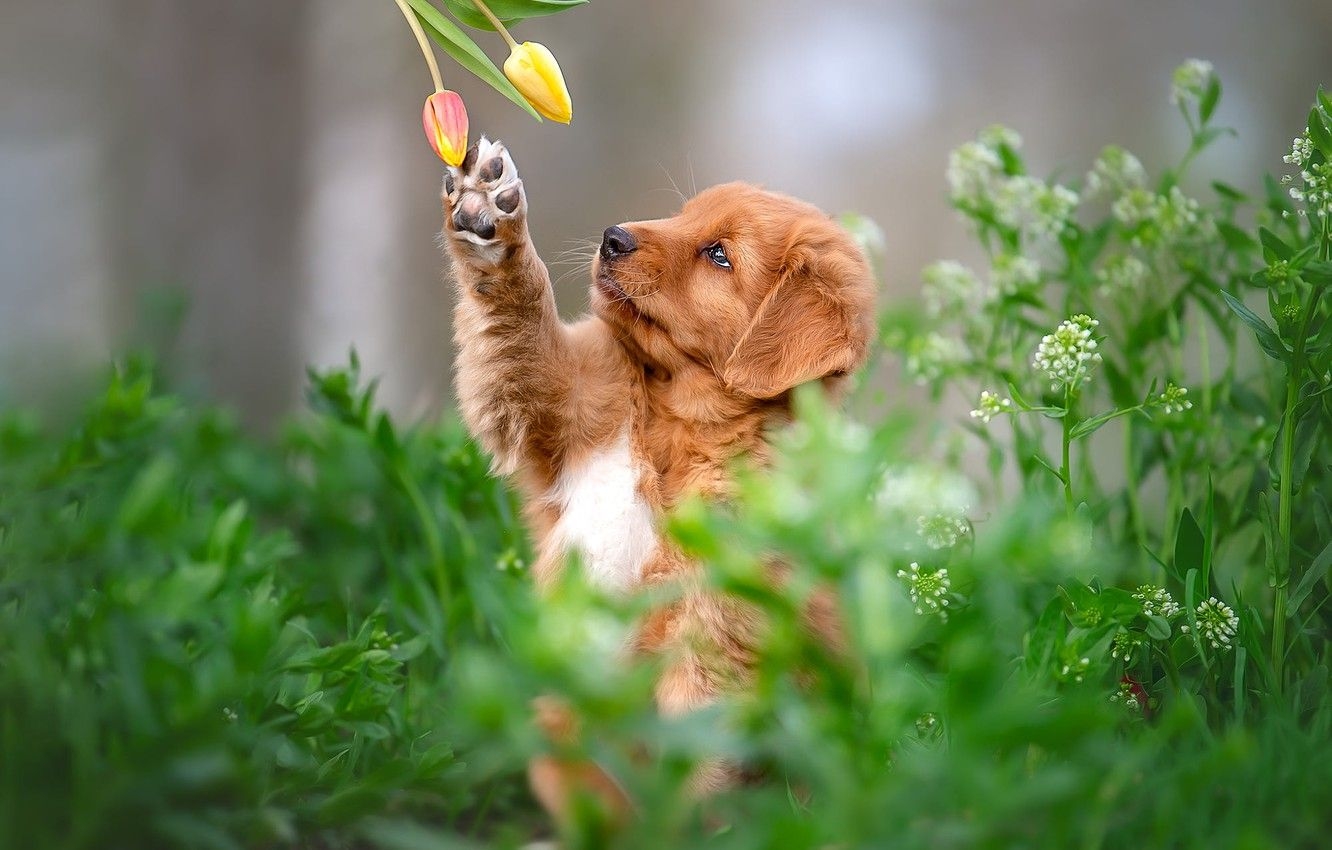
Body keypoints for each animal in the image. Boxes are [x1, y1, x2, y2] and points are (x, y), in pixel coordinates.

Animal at [442, 138, 873, 826]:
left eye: (719, 254)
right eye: (682, 216)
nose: (612, 236)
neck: (674, 423)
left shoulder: (715, 645)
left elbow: (694, 771)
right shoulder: (563, 403)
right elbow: (520, 326)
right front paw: (488, 213)